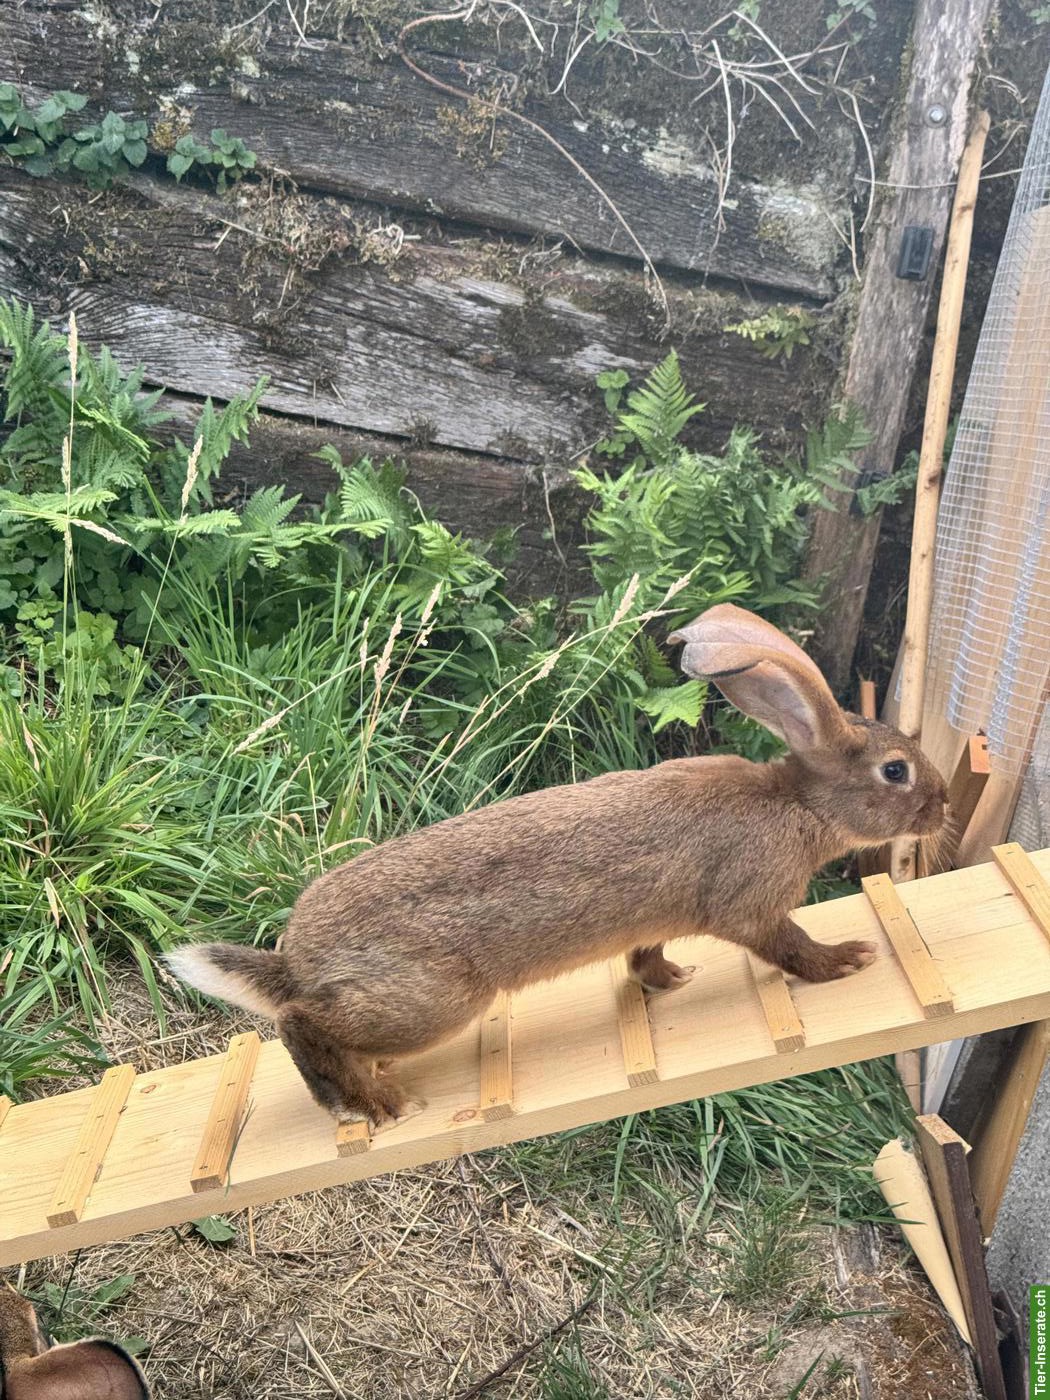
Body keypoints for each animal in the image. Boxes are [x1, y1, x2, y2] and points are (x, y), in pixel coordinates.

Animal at [165, 603, 947, 1132]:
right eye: (896, 771)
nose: (941, 808)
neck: (799, 804)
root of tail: (297, 960)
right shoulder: (752, 906)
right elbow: (787, 946)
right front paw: (847, 959)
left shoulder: (658, 919)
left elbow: (645, 952)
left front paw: (671, 979)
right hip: (431, 1001)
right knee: (302, 1023)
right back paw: (369, 1104)